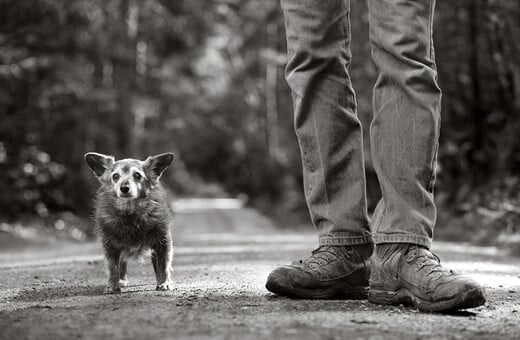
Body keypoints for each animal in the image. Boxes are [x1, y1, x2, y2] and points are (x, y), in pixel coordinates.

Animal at [84, 153, 175, 294]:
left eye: (137, 175)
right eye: (115, 176)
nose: (124, 188)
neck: (130, 213)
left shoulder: (162, 242)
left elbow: (163, 265)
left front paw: (164, 282)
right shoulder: (110, 245)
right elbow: (113, 267)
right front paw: (112, 285)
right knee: (122, 263)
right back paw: (121, 280)